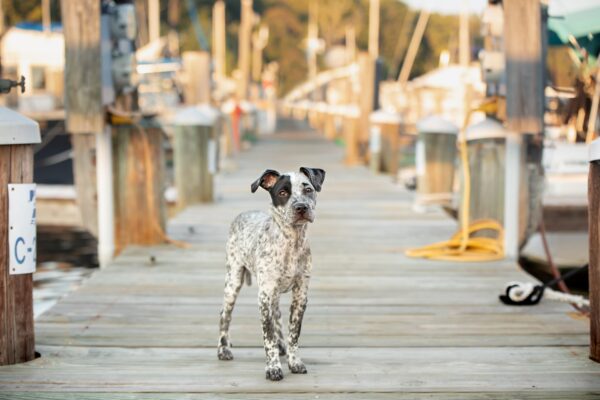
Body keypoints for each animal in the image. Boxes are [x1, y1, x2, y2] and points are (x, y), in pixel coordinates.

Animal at [218, 166, 326, 382]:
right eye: (283, 193)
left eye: (308, 189)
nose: (301, 207)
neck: (291, 243)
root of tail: (245, 213)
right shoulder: (265, 297)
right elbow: (268, 337)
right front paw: (273, 368)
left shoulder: (300, 295)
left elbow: (293, 334)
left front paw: (294, 362)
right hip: (233, 281)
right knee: (224, 315)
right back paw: (223, 349)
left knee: (277, 319)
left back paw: (281, 346)